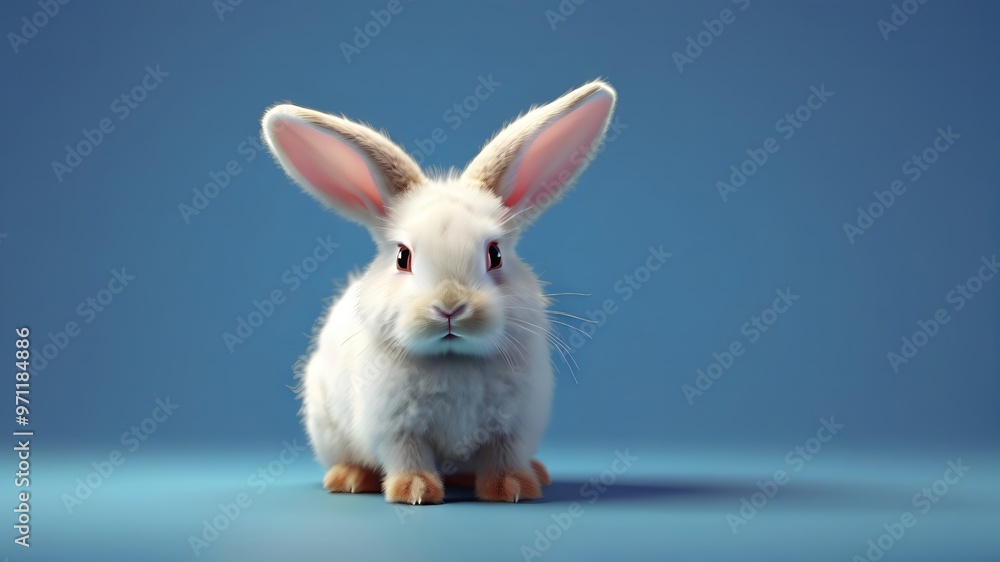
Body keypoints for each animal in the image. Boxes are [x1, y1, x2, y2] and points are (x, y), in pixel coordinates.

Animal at [260, 79, 617, 504]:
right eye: (402, 257)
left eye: (495, 254)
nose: (450, 307)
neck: (453, 360)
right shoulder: (397, 429)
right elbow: (409, 457)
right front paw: (414, 491)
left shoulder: (511, 429)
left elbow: (503, 457)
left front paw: (512, 487)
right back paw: (349, 478)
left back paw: (533, 473)